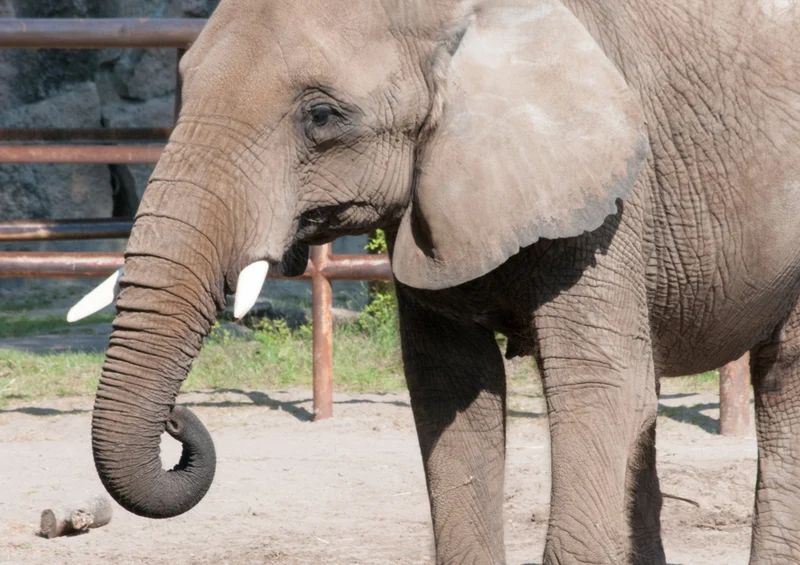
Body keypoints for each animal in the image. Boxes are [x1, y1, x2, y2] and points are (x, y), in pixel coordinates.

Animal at [67, 0, 800, 563]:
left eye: (321, 115)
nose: (177, 418)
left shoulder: (612, 198)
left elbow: (599, 389)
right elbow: (453, 392)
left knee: (780, 382)